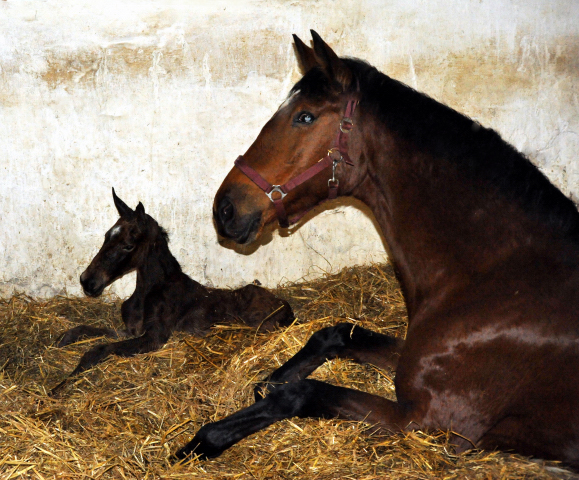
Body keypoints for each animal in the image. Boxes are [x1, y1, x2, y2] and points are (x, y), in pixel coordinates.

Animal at [51, 189, 294, 396]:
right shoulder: (130, 331)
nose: (87, 281)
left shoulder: (154, 338)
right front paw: (60, 342)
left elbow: (98, 350)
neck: (149, 292)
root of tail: (286, 305)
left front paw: (60, 385)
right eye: (106, 236)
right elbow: (83, 330)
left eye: (128, 245)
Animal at [174, 31, 579, 468]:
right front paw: (270, 380)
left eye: (305, 117)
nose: (225, 209)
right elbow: (335, 334)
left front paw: (204, 439)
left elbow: (300, 392)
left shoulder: (429, 423)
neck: (498, 275)